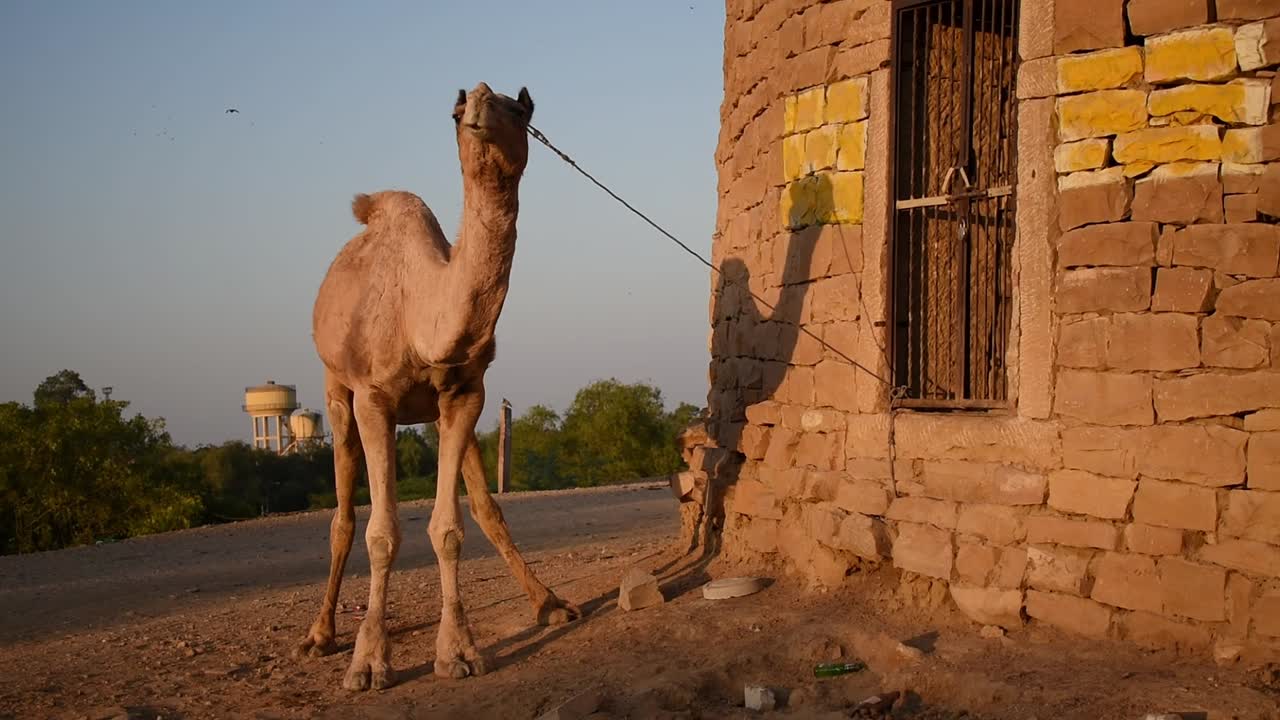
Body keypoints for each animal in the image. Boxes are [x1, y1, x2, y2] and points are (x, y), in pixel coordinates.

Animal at [296, 82, 579, 691]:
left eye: (518, 109)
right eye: (454, 112)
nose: (477, 107)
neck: (422, 315)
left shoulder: (466, 393)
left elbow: (452, 527)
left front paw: (459, 652)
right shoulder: (374, 398)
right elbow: (381, 532)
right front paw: (368, 662)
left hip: (440, 411)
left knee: (483, 505)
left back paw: (549, 603)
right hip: (335, 387)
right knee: (343, 516)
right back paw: (320, 635)